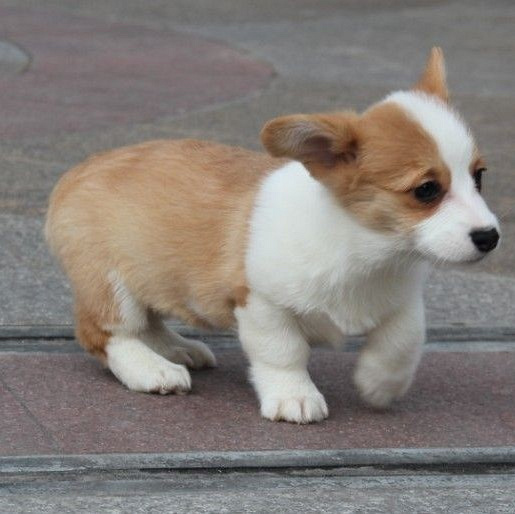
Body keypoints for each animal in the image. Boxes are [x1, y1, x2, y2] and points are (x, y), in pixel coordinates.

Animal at [45, 48, 500, 422]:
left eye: (478, 176)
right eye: (427, 190)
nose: (490, 237)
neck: (367, 250)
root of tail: (78, 170)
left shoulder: (402, 299)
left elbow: (404, 339)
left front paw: (379, 383)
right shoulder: (261, 302)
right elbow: (284, 352)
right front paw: (294, 397)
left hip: (152, 278)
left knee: (148, 320)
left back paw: (176, 349)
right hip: (110, 283)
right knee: (106, 332)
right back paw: (153, 368)